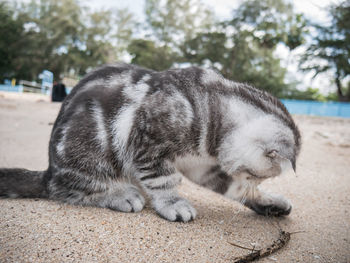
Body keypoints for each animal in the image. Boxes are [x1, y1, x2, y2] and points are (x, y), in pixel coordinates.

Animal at [0, 64, 300, 223]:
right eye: (257, 175)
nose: (256, 182)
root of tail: (49, 170)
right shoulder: (148, 147)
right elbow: (163, 180)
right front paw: (173, 203)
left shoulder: (204, 167)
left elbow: (234, 188)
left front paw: (267, 201)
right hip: (87, 155)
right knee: (66, 190)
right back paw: (120, 194)